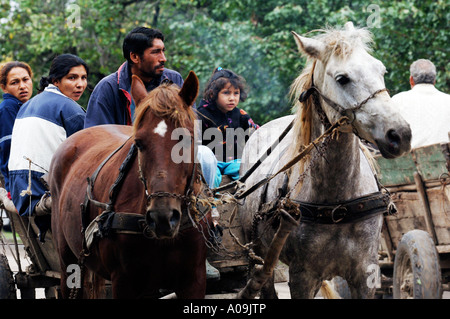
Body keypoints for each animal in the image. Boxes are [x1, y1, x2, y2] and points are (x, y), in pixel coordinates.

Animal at [49, 71, 211, 298]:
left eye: (187, 140)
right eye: (139, 143)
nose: (162, 216)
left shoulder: (193, 279)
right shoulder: (125, 281)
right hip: (68, 263)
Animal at [239, 23, 412, 300]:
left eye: (381, 70)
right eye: (342, 78)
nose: (400, 134)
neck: (337, 204)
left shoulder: (366, 274)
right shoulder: (302, 276)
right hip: (260, 256)